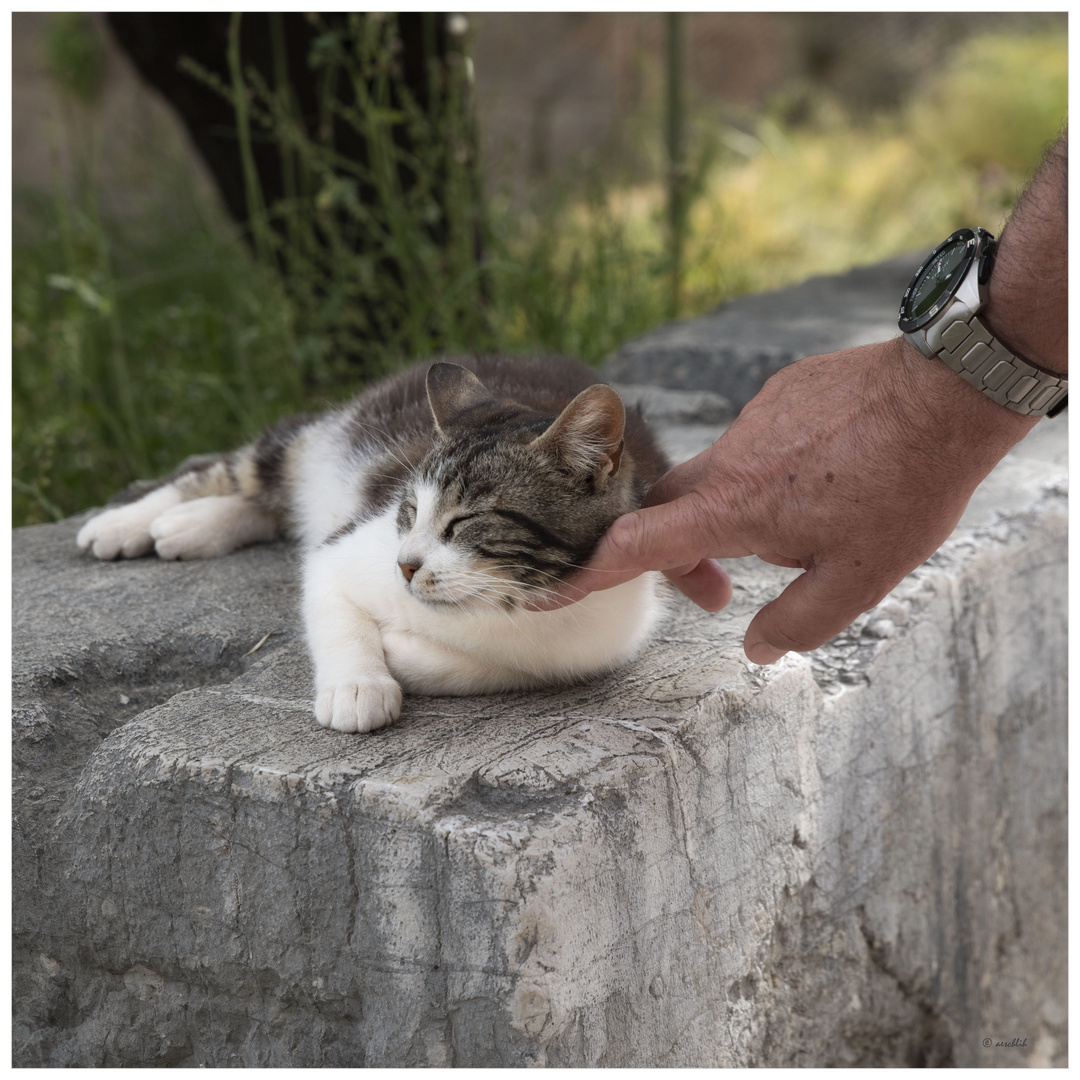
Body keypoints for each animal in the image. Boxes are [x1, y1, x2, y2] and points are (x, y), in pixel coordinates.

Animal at [78, 356, 665, 734]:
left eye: (465, 521)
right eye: (409, 509)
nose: (404, 565)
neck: (501, 602)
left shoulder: (603, 629)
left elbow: (513, 666)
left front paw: (402, 652)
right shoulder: (342, 550)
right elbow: (333, 603)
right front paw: (358, 687)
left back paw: (190, 526)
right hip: (320, 436)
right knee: (237, 471)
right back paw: (128, 523)